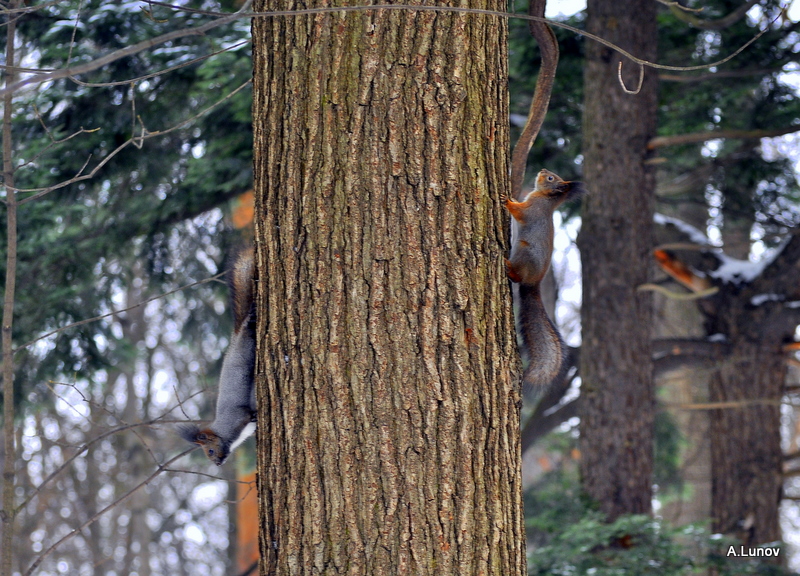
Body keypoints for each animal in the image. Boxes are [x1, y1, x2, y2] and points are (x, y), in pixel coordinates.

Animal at [180, 250, 258, 466]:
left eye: (210, 450)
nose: (216, 464)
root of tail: (235, 338)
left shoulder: (236, 417)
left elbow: (246, 415)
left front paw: (255, 415)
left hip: (246, 347)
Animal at [504, 169, 584, 390]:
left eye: (551, 178)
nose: (543, 171)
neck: (546, 199)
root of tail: (533, 283)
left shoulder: (533, 210)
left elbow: (520, 213)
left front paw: (507, 200)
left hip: (524, 252)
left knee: (517, 277)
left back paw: (509, 268)